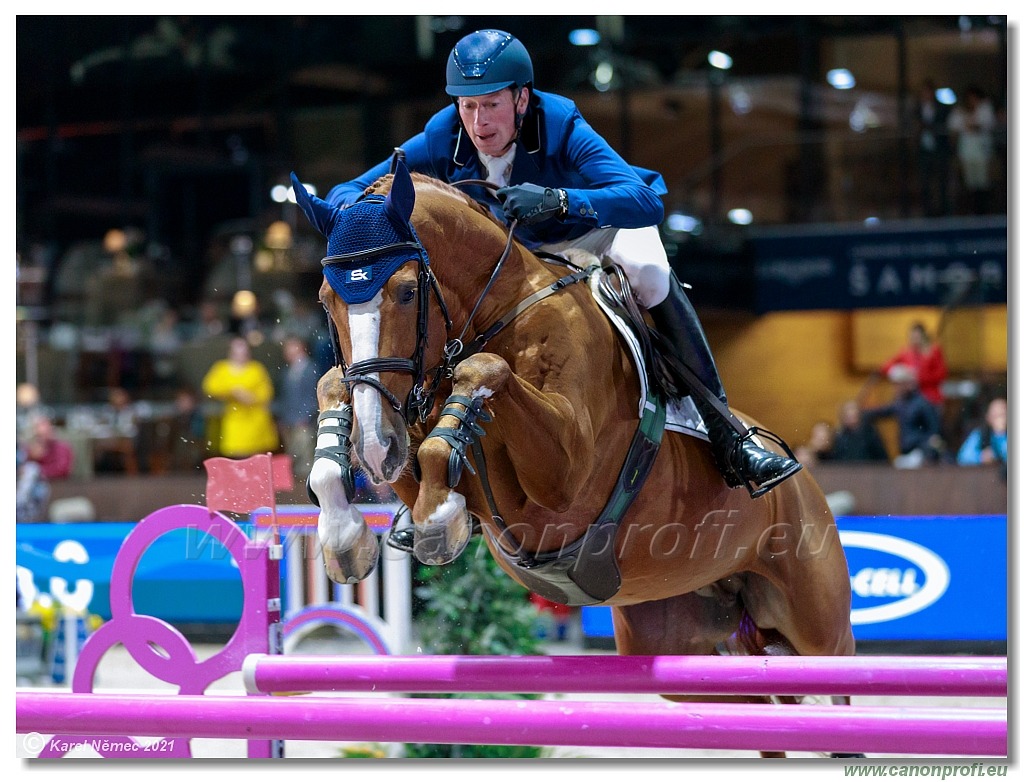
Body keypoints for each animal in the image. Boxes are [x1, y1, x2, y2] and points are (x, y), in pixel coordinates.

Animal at [294, 160, 856, 753]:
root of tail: (813, 493)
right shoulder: (413, 423)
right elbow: (345, 397)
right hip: (680, 645)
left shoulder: (564, 474)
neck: (496, 312)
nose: (375, 446)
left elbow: (485, 371)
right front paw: (348, 535)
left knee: (832, 691)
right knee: (756, 704)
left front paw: (437, 520)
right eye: (325, 300)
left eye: (405, 293)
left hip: (818, 626)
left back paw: (753, 458)